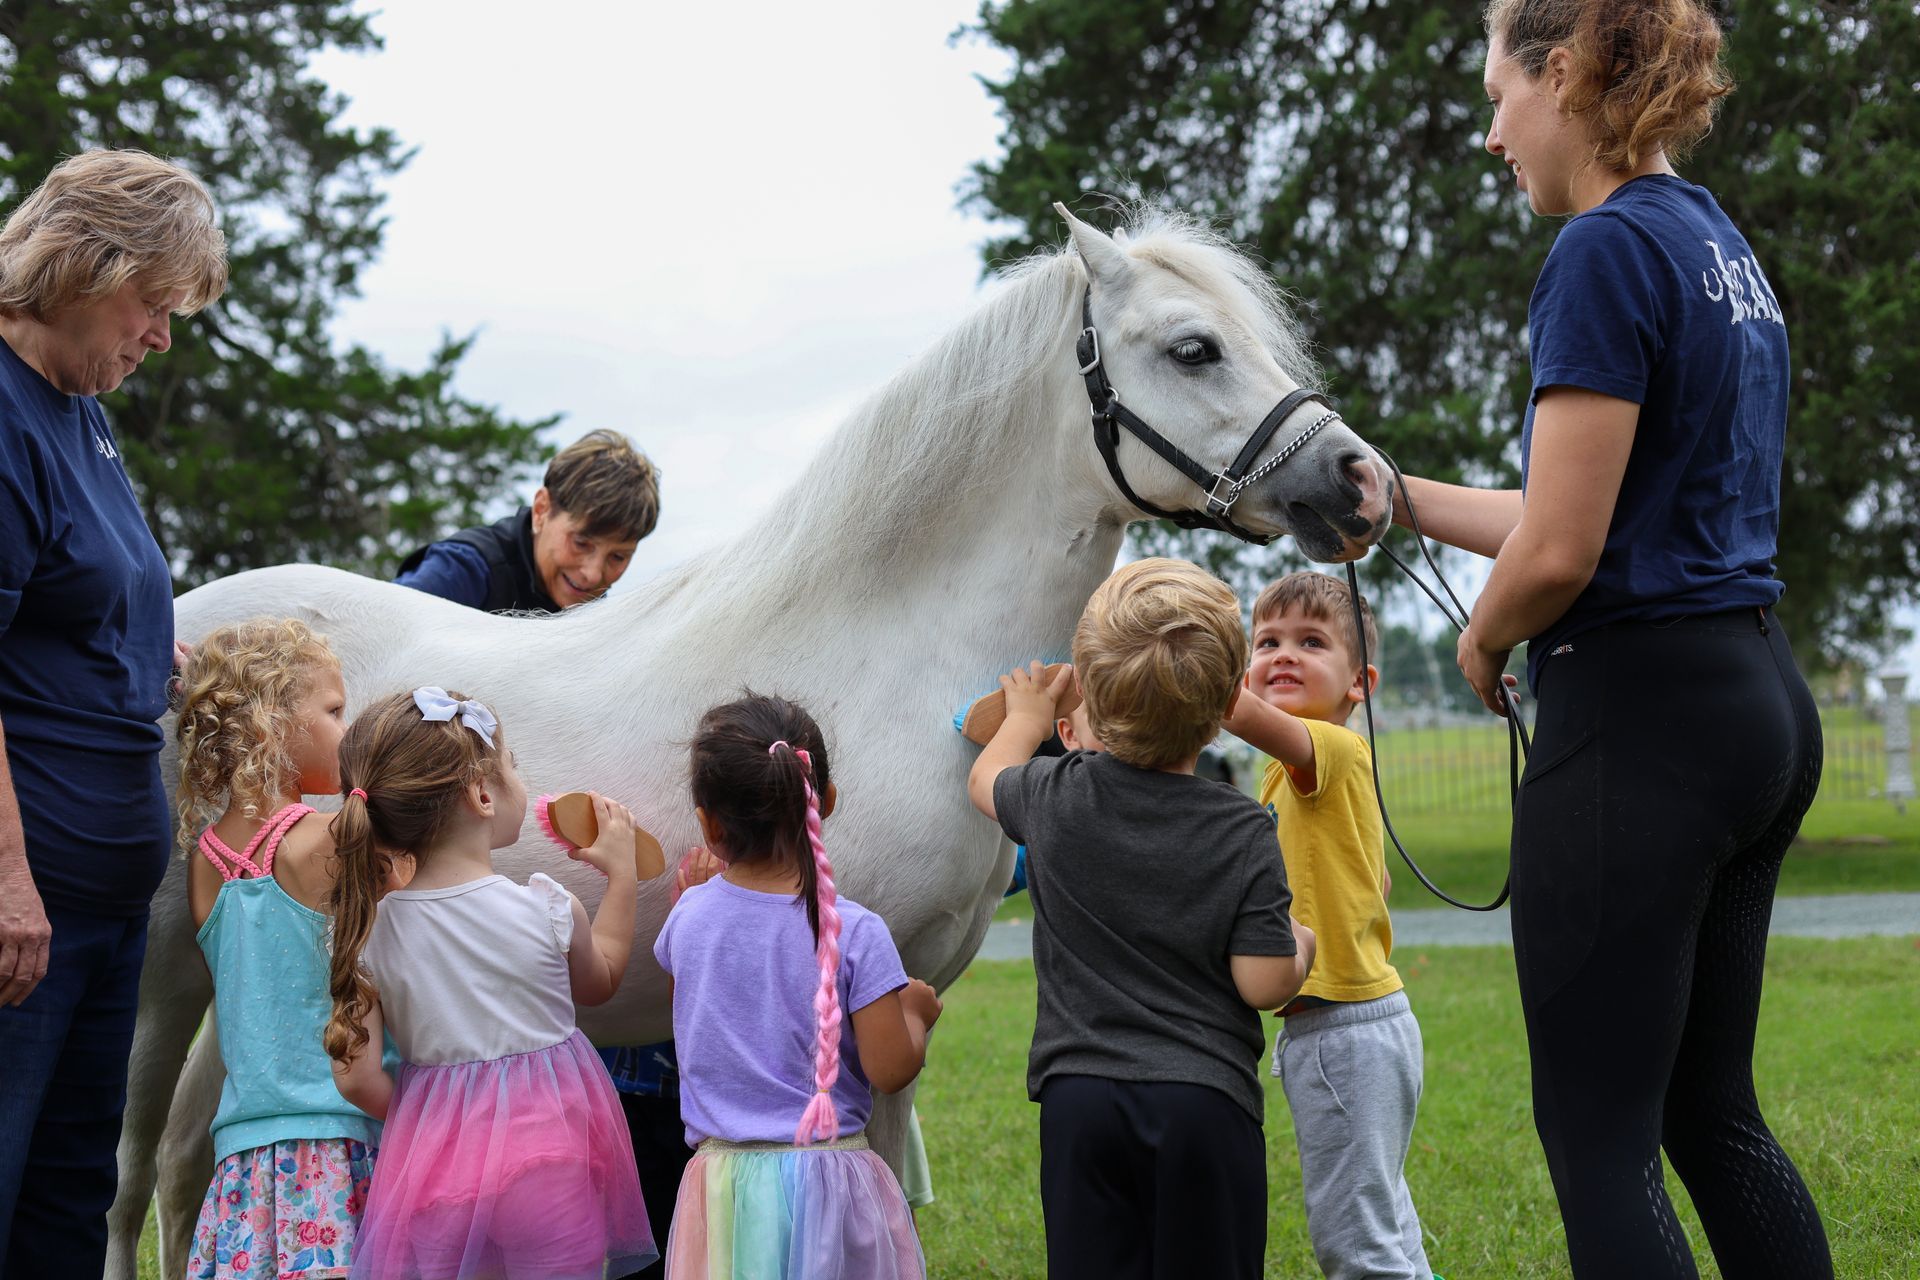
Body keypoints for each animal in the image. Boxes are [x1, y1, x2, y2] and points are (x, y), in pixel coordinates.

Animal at [105, 203, 1394, 1275]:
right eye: (1193, 347)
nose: (1362, 481)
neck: (882, 649)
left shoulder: (906, 999)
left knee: (188, 1160)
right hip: (161, 970)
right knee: (128, 1176)